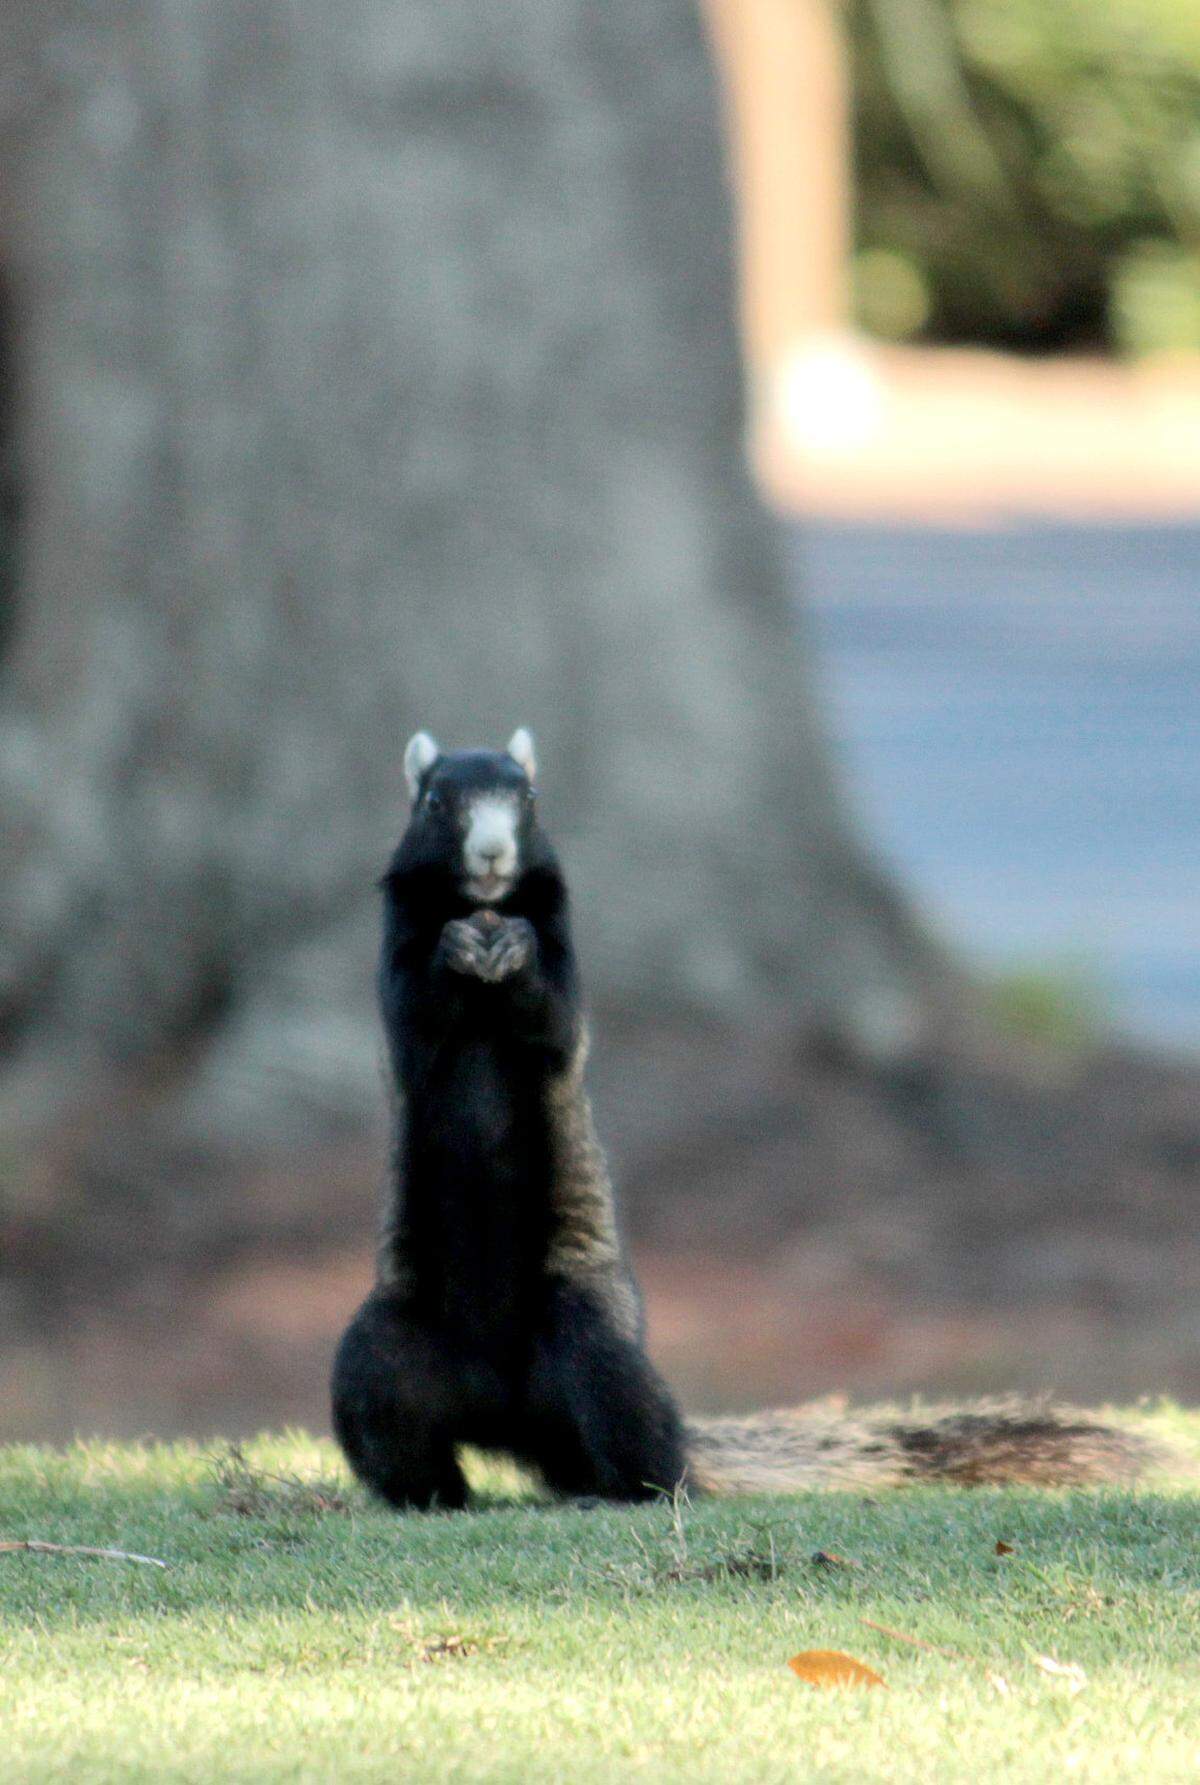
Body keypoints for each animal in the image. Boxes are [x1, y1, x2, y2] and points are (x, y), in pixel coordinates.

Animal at [330, 730, 1155, 1509]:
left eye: (529, 798)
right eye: (436, 801)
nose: (493, 852)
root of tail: (505, 1419)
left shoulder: (566, 971)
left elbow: (553, 1014)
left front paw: (514, 946)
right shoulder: (396, 968)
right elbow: (415, 1008)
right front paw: (460, 944)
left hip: (594, 1347)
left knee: (646, 1449)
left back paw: (618, 1490)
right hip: (378, 1360)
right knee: (399, 1439)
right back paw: (432, 1497)